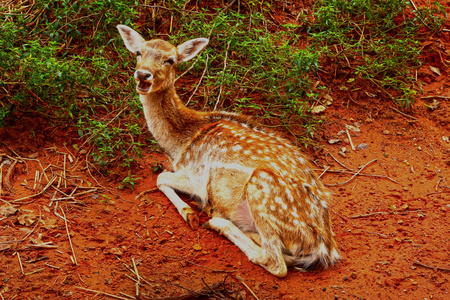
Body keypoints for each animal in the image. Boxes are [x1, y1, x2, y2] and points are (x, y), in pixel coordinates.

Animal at [118, 24, 340, 278]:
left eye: (170, 60)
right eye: (139, 52)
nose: (143, 74)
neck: (181, 141)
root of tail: (324, 250)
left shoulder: (197, 177)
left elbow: (160, 177)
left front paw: (189, 213)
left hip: (262, 188)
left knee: (275, 262)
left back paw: (216, 221)